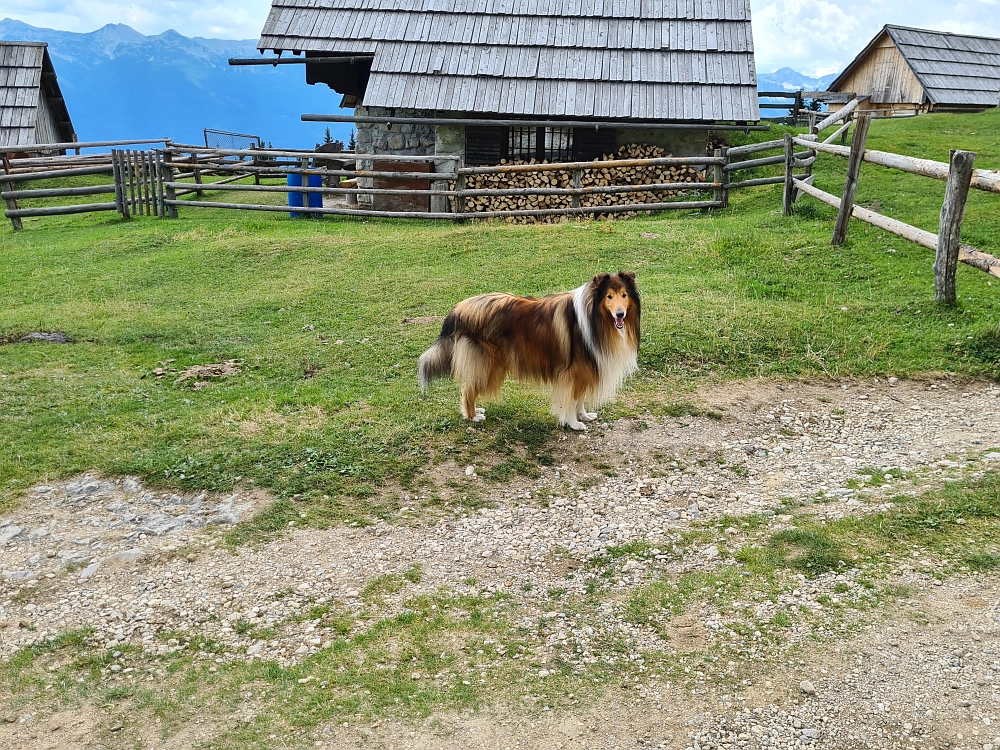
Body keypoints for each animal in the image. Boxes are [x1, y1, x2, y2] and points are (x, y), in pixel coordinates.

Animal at [416, 274, 640, 432]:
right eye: (609, 296)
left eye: (624, 295)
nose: (620, 314)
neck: (593, 318)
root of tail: (458, 309)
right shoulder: (573, 372)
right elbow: (570, 399)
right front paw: (573, 423)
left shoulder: (584, 370)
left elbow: (579, 399)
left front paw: (583, 416)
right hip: (488, 366)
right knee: (467, 390)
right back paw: (473, 416)